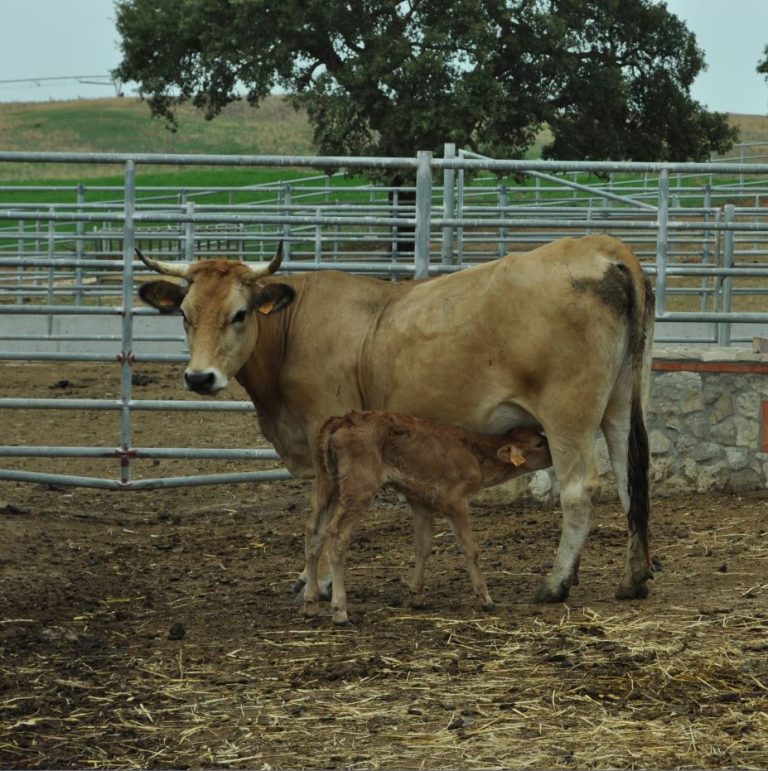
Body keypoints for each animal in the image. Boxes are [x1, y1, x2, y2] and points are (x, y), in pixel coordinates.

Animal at [302, 414, 552, 624]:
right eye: (539, 443)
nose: (554, 456)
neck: (474, 454)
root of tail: (340, 421)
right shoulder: (454, 500)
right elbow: (470, 548)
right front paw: (486, 599)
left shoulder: (420, 501)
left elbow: (423, 545)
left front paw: (416, 596)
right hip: (358, 488)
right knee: (336, 534)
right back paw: (339, 610)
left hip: (327, 483)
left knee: (314, 531)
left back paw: (310, 603)